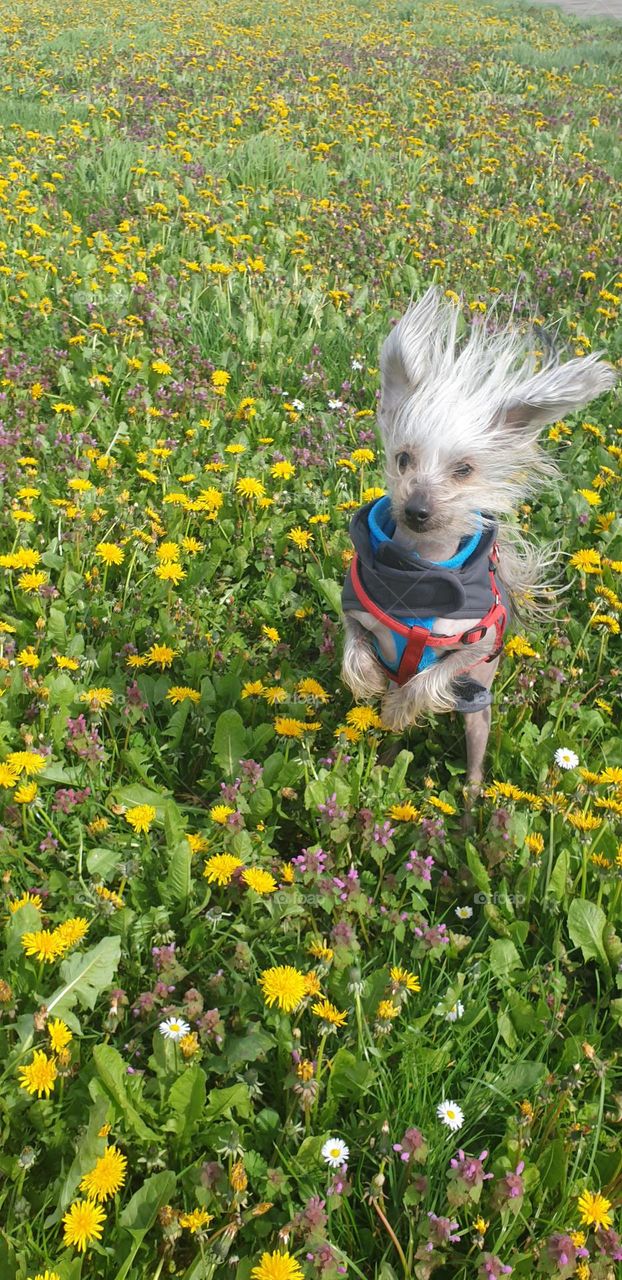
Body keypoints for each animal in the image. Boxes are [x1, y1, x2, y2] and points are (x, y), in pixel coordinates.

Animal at [340, 286, 616, 793]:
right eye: (403, 459)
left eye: (464, 470)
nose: (417, 510)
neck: (420, 572)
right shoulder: (359, 615)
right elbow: (354, 646)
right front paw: (368, 679)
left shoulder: (477, 646)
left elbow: (432, 678)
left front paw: (403, 703)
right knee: (394, 739)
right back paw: (387, 758)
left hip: (477, 711)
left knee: (471, 761)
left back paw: (469, 800)